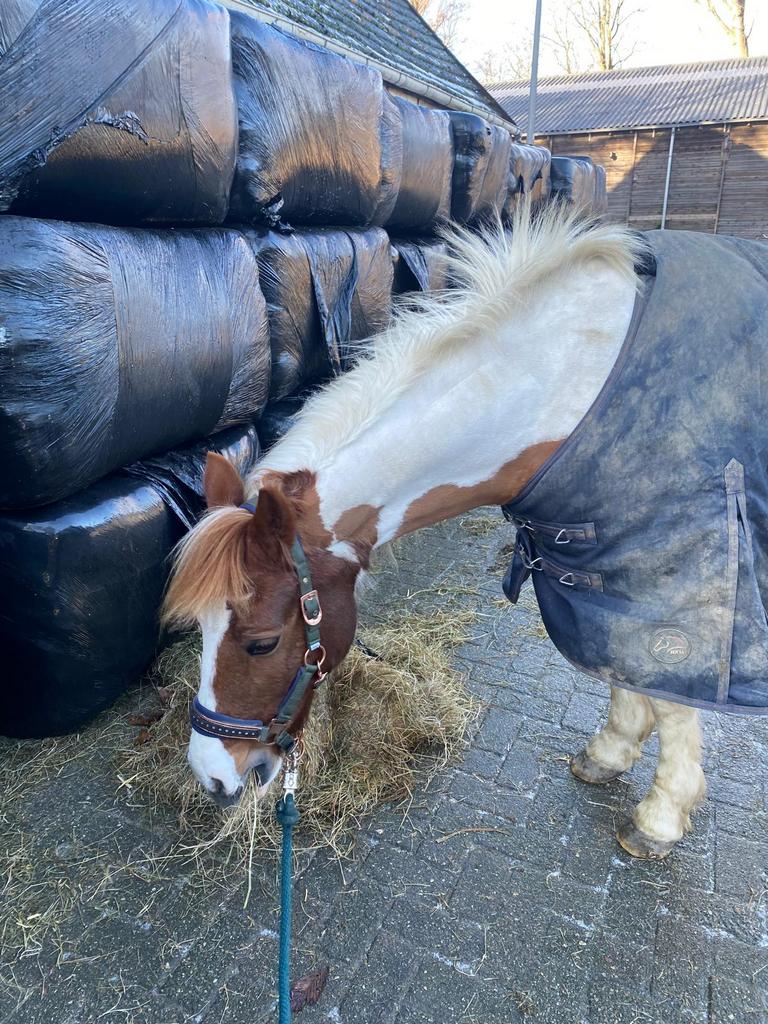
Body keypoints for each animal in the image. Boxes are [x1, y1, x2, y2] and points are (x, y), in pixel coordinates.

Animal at [163, 202, 768, 860]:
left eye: (263, 643)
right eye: (201, 629)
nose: (211, 776)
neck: (565, 385)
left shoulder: (679, 568)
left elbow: (667, 685)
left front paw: (661, 814)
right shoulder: (600, 562)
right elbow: (615, 658)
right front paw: (611, 753)